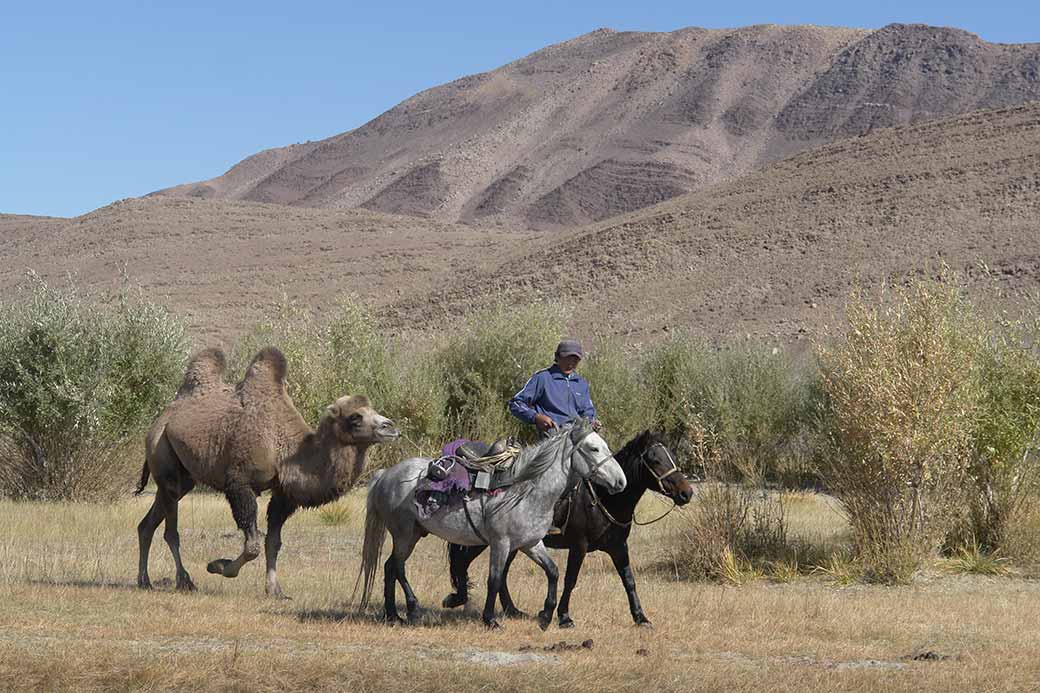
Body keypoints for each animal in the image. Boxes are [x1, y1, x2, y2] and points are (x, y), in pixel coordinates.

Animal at [135, 346, 399, 597]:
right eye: (356, 418)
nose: (391, 428)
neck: (285, 449)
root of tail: (161, 419)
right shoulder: (239, 482)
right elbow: (252, 545)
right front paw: (218, 566)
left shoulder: (284, 494)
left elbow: (273, 542)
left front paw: (275, 590)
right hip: (163, 453)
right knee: (171, 531)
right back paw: (184, 581)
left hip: (182, 478)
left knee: (147, 524)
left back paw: (144, 580)